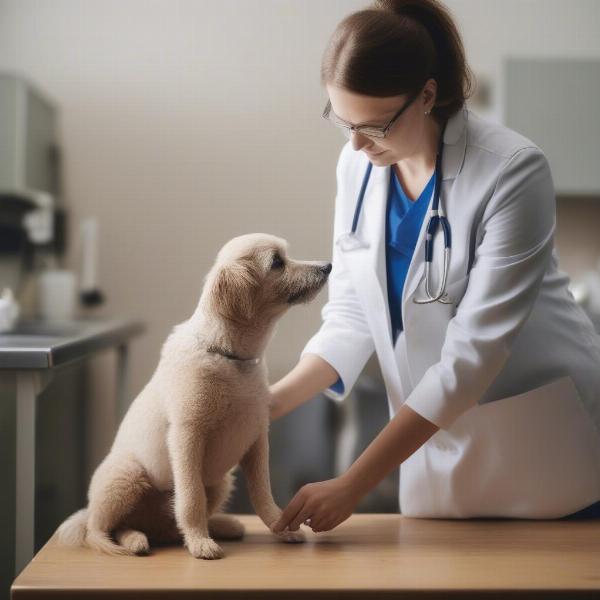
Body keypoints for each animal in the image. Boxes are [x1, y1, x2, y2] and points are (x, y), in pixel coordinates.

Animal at [56, 232, 332, 560]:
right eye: (277, 262)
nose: (327, 266)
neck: (230, 357)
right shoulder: (187, 436)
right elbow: (190, 500)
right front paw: (201, 543)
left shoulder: (256, 439)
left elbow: (263, 494)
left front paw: (281, 528)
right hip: (127, 476)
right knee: (98, 528)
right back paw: (129, 543)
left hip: (221, 481)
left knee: (162, 528)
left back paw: (215, 526)